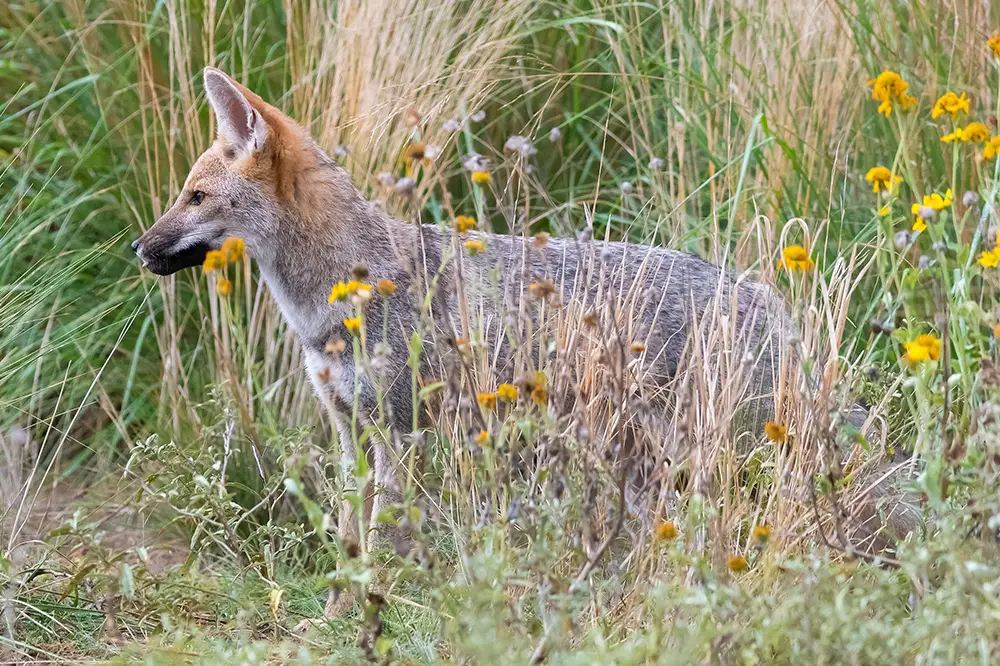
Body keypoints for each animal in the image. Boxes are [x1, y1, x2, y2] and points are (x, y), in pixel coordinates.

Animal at [135, 67, 920, 616]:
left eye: (195, 198)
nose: (140, 249)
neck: (339, 297)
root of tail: (765, 294)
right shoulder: (354, 437)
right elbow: (348, 543)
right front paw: (330, 615)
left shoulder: (402, 440)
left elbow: (381, 546)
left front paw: (368, 614)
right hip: (649, 472)